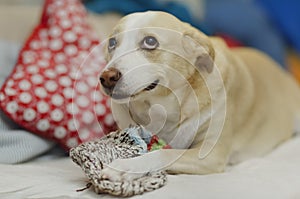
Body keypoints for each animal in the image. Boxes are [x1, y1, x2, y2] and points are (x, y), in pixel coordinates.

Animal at [98, 10, 300, 180]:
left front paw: (127, 167)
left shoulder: (210, 155)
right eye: (112, 43)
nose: (106, 77)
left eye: (150, 42)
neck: (163, 106)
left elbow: (165, 152)